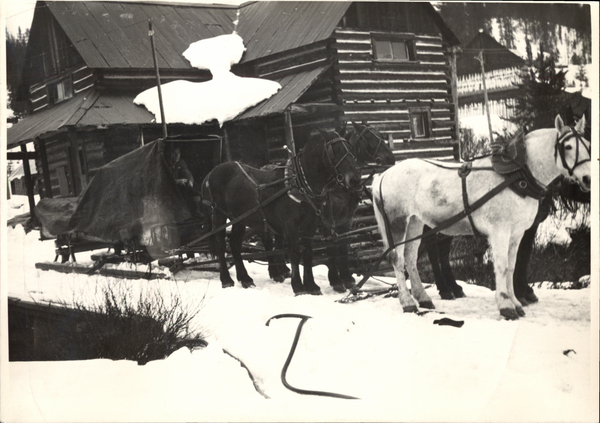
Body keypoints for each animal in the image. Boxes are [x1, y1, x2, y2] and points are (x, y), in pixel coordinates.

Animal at [200, 132, 360, 294]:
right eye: (334, 151)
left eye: (351, 150)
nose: (355, 180)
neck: (299, 184)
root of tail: (210, 173)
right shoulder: (291, 227)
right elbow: (294, 253)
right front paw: (298, 287)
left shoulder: (310, 226)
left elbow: (308, 254)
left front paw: (312, 286)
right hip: (219, 215)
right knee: (221, 245)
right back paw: (226, 280)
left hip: (239, 218)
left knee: (234, 244)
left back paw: (245, 279)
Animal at [376, 114, 592, 320]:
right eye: (568, 146)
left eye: (588, 145)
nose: (588, 179)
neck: (516, 177)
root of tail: (383, 175)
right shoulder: (500, 231)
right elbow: (502, 266)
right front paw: (506, 305)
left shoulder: (517, 233)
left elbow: (512, 266)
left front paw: (516, 302)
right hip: (397, 223)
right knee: (398, 259)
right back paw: (408, 302)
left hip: (415, 222)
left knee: (411, 259)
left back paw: (423, 298)